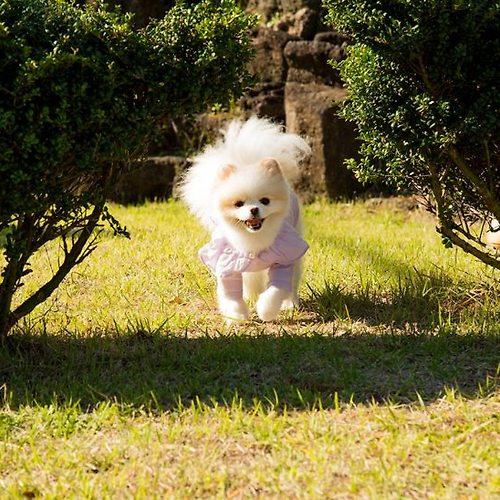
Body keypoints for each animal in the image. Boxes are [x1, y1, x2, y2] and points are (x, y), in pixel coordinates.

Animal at [180, 116, 312, 320]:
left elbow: (275, 290)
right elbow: (230, 294)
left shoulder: (283, 258)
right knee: (250, 280)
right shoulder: (228, 263)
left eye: (265, 200)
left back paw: (290, 303)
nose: (254, 209)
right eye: (238, 204)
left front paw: (266, 310)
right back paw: (250, 297)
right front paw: (237, 315)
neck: (254, 241)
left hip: (295, 251)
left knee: (293, 281)